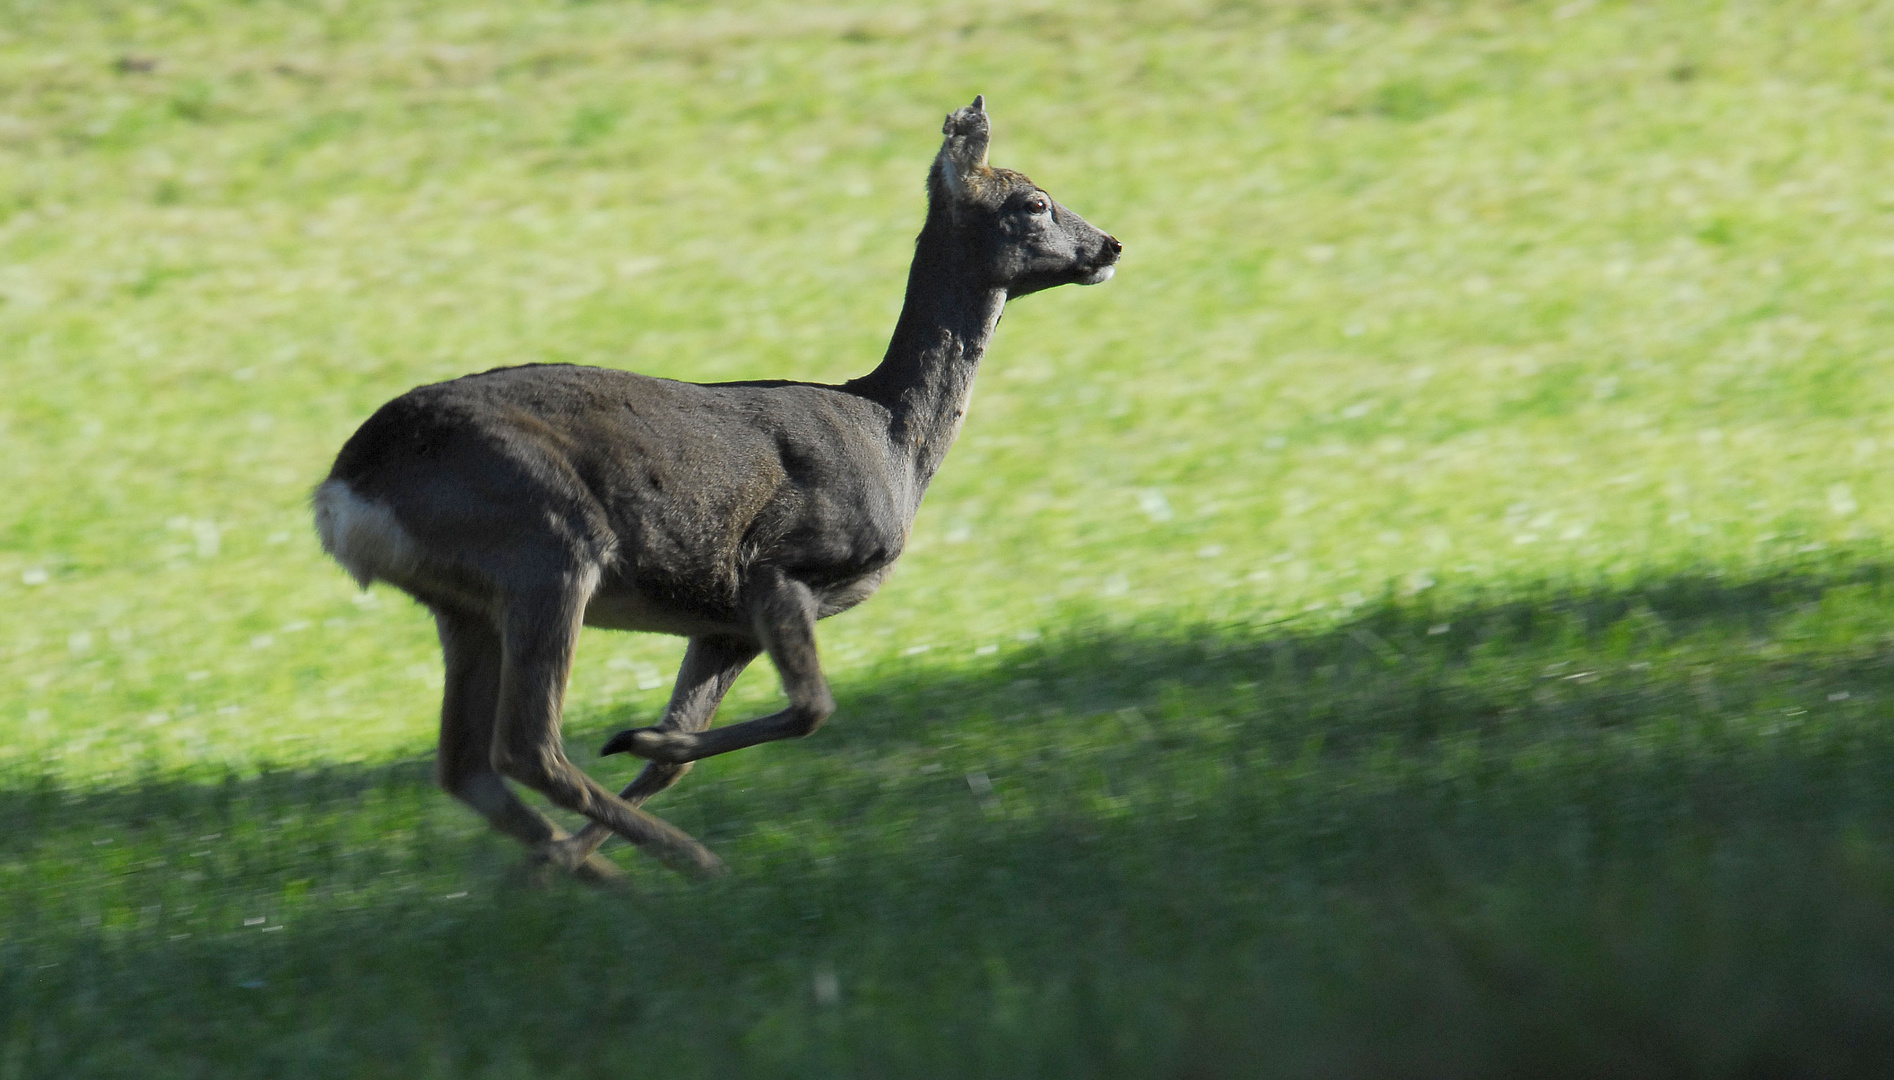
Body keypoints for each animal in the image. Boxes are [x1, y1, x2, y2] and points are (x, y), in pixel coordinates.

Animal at [314, 96, 1121, 879]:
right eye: (1035, 202)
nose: (1112, 246)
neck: (893, 441)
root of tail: (344, 491)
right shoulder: (778, 560)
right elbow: (811, 710)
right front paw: (634, 744)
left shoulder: (723, 623)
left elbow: (686, 746)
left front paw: (632, 766)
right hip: (545, 545)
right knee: (524, 745)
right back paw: (686, 864)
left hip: (464, 602)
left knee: (464, 767)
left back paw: (573, 866)